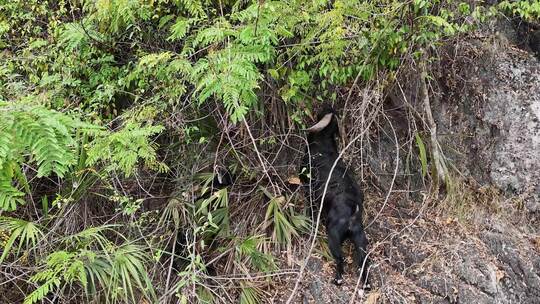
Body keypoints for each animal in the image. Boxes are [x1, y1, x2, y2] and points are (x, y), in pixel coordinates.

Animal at [300, 107, 372, 284]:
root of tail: (353, 209)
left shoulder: (309, 192)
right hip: (360, 237)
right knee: (363, 260)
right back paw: (366, 283)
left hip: (333, 234)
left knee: (340, 258)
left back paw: (337, 279)